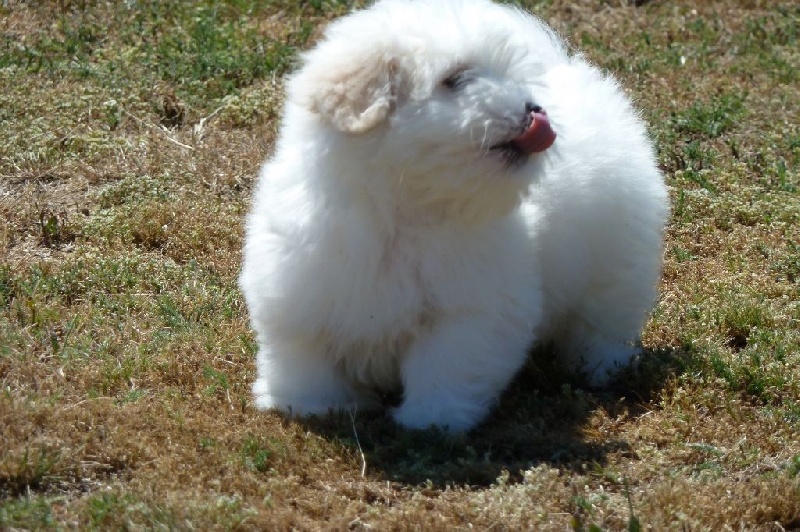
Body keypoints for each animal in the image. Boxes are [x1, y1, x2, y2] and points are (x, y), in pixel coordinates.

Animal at [238, 0, 668, 432]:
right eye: (455, 79)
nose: (534, 110)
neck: (405, 210)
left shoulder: (468, 312)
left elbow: (446, 364)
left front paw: (433, 420)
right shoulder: (300, 291)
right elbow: (307, 358)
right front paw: (313, 405)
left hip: (616, 257)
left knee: (604, 318)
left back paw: (599, 367)